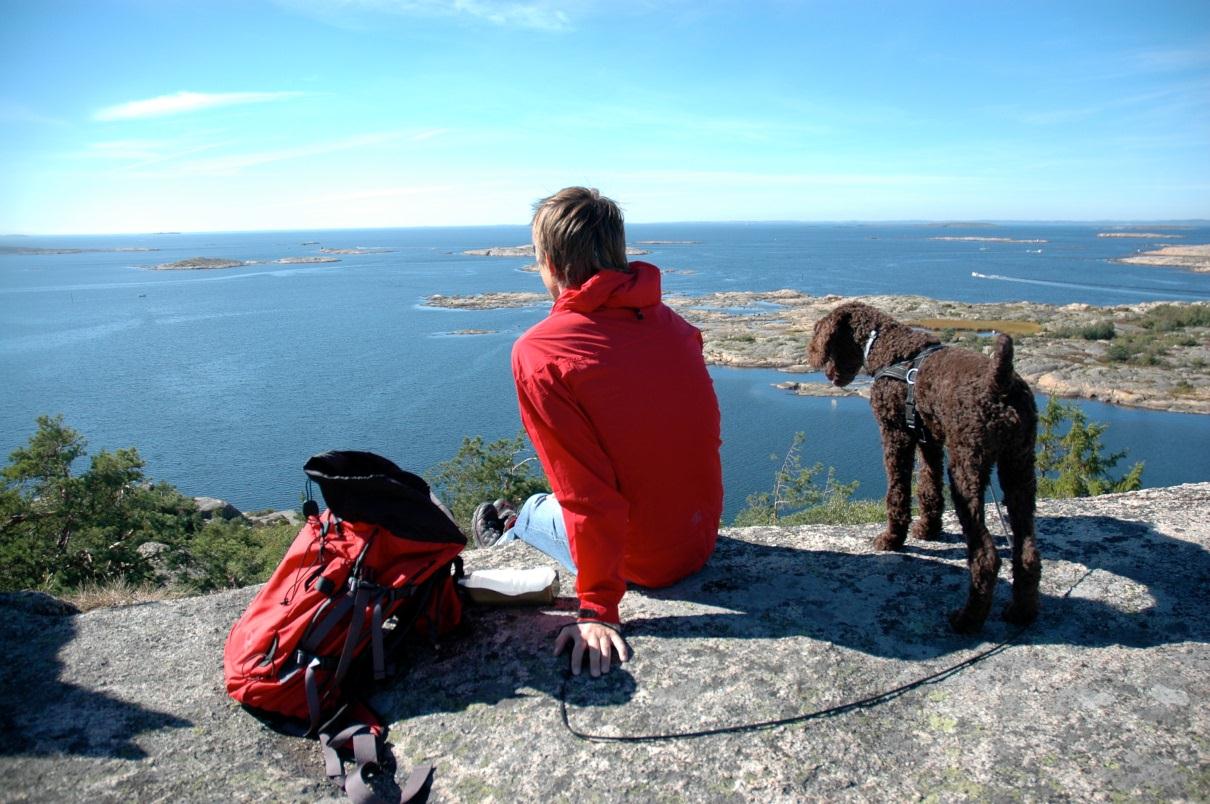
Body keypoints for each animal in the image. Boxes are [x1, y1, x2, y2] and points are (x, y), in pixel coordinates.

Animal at [808, 301, 1035, 634]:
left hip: (966, 469)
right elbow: (928, 487)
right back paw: (1021, 611)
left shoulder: (895, 434)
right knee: (1027, 549)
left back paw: (968, 619)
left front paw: (892, 538)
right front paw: (929, 530)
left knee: (986, 555)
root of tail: (1000, 384)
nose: (813, 355)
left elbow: (898, 491)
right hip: (1019, 466)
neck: (887, 345)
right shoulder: (929, 440)